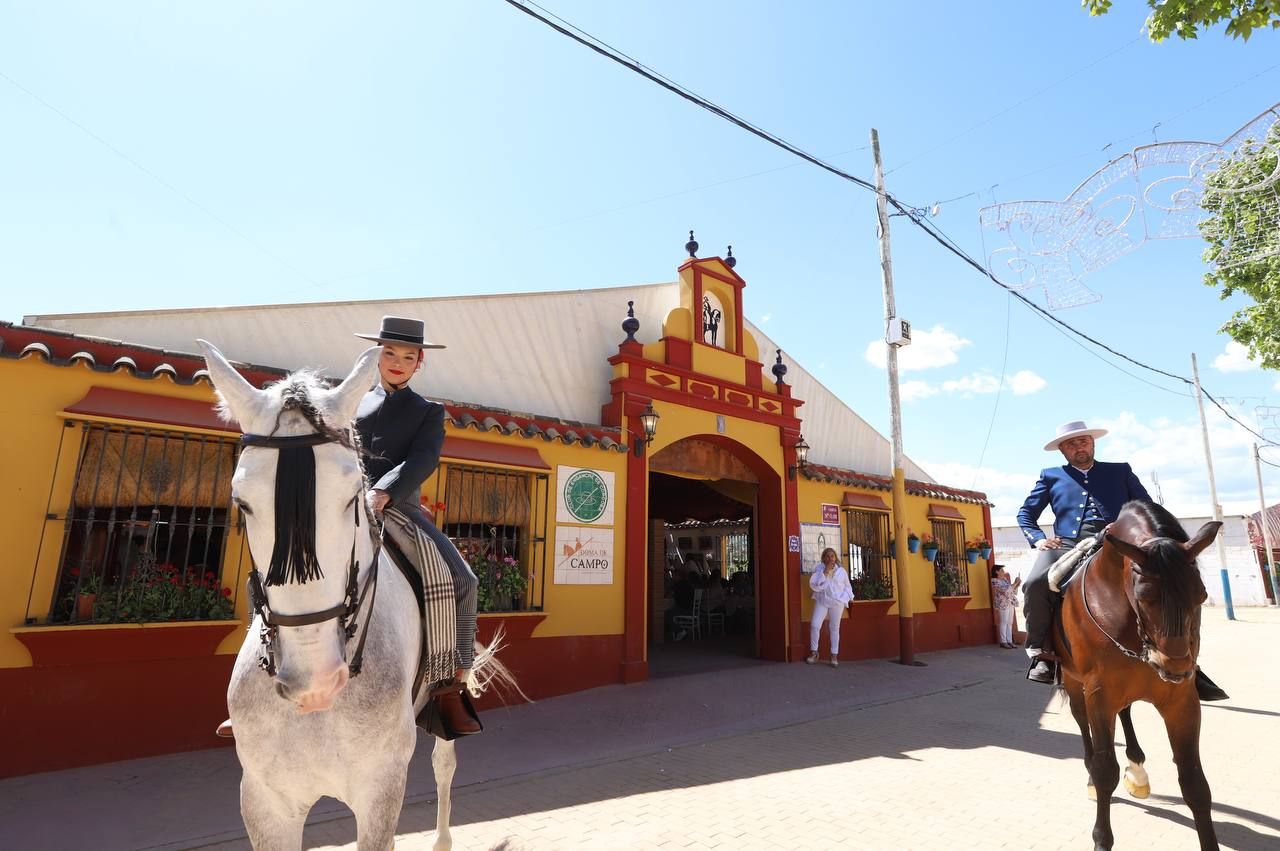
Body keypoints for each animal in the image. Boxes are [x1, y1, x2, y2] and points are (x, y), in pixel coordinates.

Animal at [199, 340, 494, 849]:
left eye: (354, 496)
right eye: (241, 502)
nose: (314, 682)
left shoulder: (379, 791)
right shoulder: (265, 802)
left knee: (443, 765)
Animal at [1054, 501, 1223, 844]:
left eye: (1200, 595)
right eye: (1145, 597)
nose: (1174, 666)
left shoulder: (1181, 701)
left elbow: (1195, 783)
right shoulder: (1098, 695)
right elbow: (1105, 771)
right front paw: (1101, 837)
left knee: (1126, 712)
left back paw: (1138, 770)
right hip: (1073, 682)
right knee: (1082, 724)